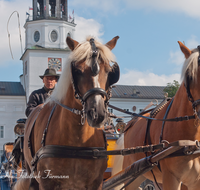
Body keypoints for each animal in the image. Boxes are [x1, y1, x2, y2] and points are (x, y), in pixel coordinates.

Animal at [13, 35, 120, 190]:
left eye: (109, 71)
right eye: (77, 70)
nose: (97, 114)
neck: (77, 140)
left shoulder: (96, 182)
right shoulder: (47, 182)